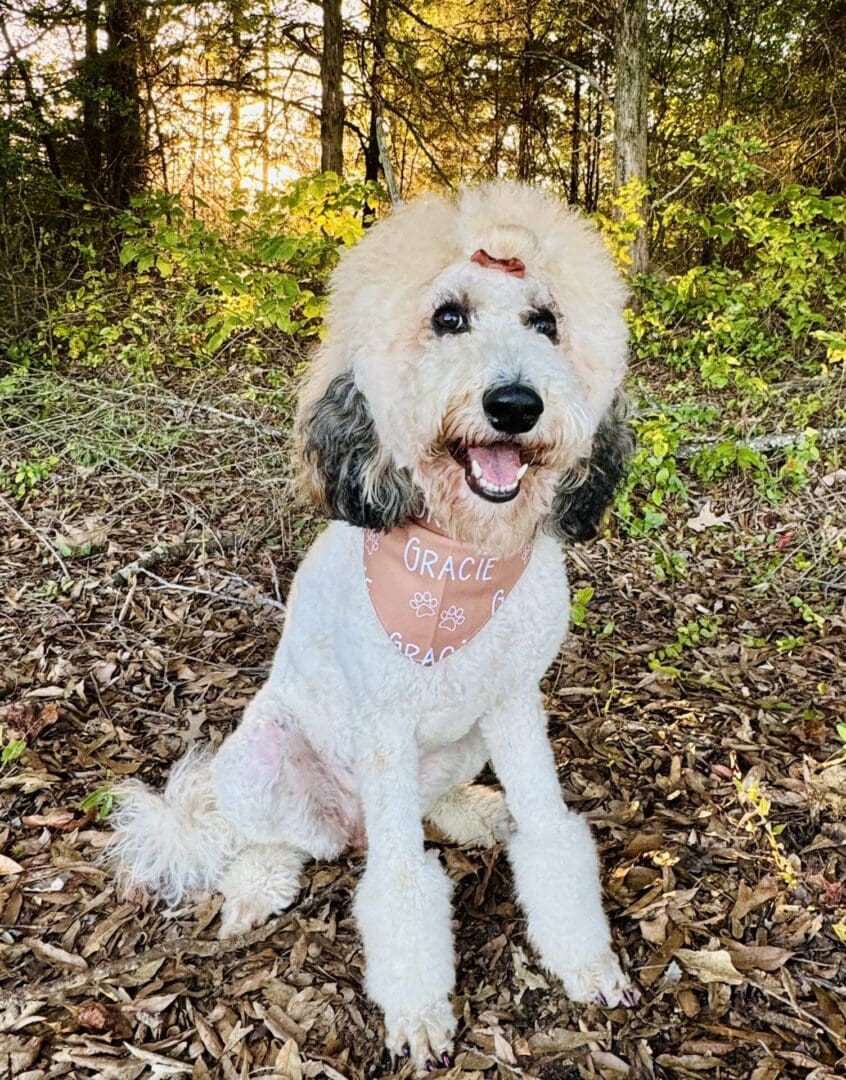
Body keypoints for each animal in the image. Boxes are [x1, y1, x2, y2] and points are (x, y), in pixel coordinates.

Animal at [113, 181, 643, 1067]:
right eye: (448, 317)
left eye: (546, 322)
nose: (515, 404)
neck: (458, 558)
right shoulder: (386, 726)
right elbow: (398, 882)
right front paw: (420, 1014)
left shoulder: (514, 704)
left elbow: (551, 832)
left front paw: (587, 962)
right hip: (258, 762)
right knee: (286, 842)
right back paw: (254, 887)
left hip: (460, 744)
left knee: (429, 806)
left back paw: (477, 812)